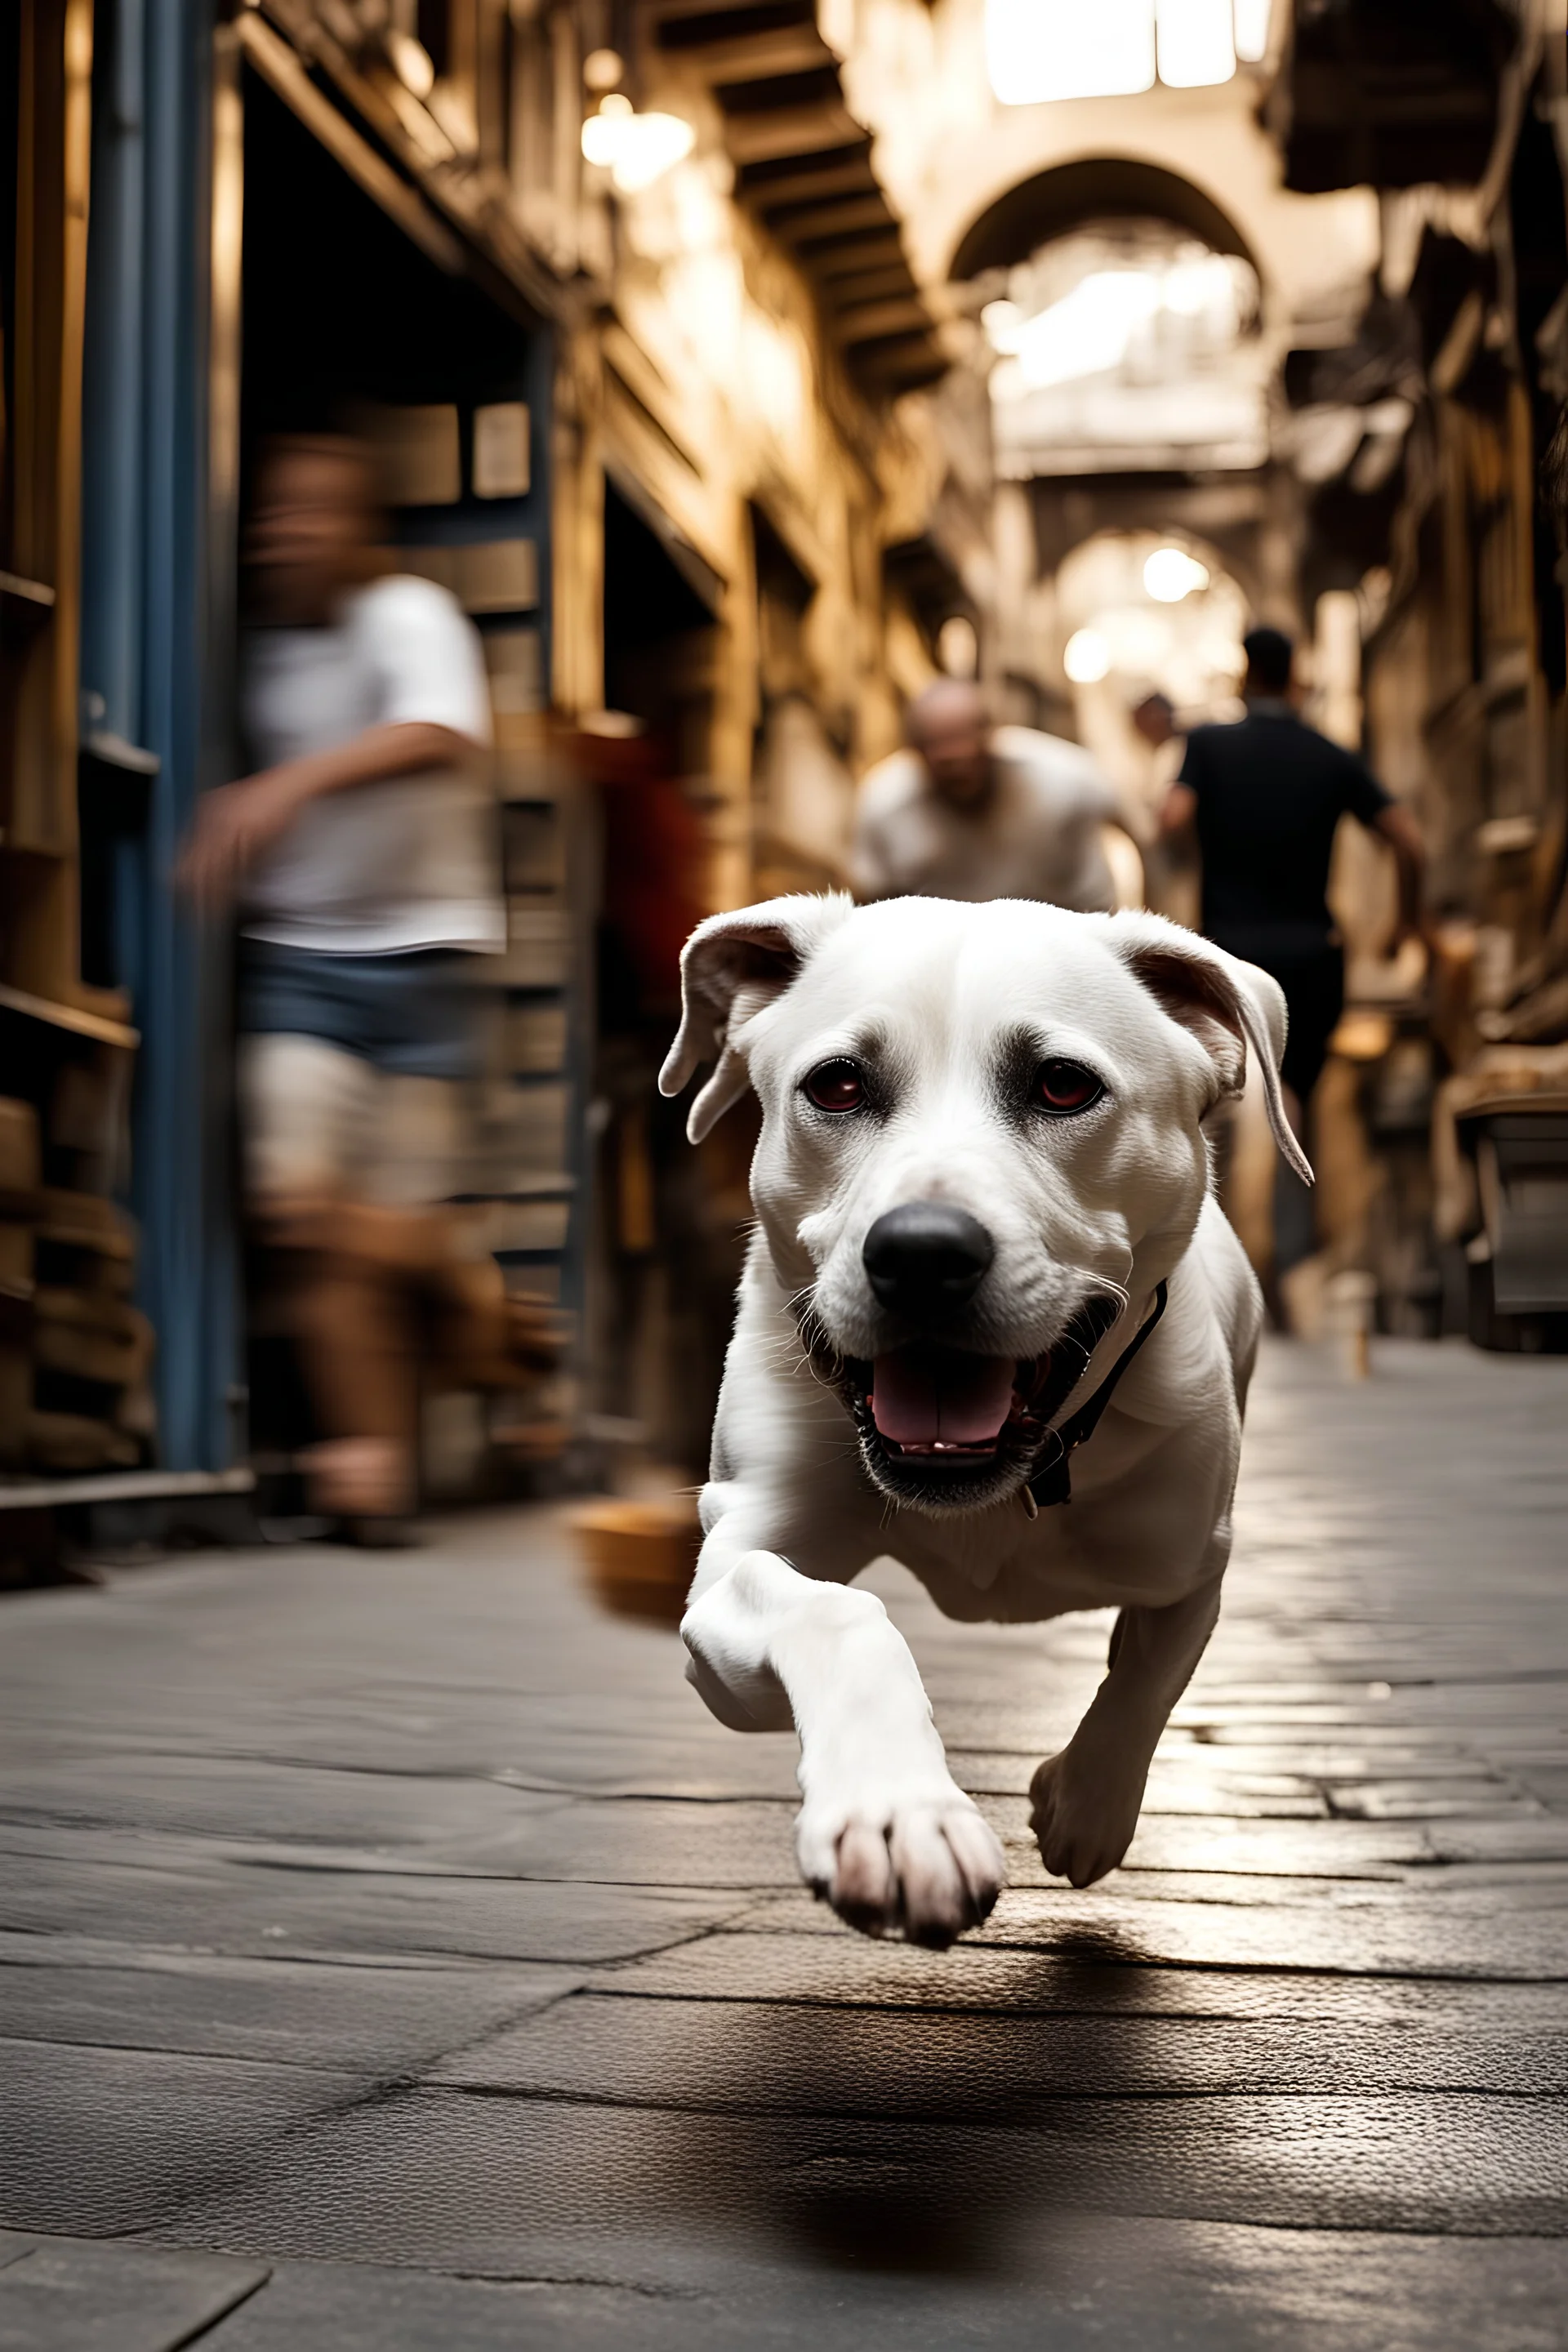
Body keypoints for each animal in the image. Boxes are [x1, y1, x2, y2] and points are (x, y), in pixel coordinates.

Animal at [662, 889, 1316, 1938]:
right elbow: (835, 1613)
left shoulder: (1191, 1564)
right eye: (838, 1086)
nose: (922, 1253)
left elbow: (1147, 1675)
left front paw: (1089, 1804)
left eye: (1062, 1087)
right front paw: (897, 1814)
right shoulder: (731, 1574)